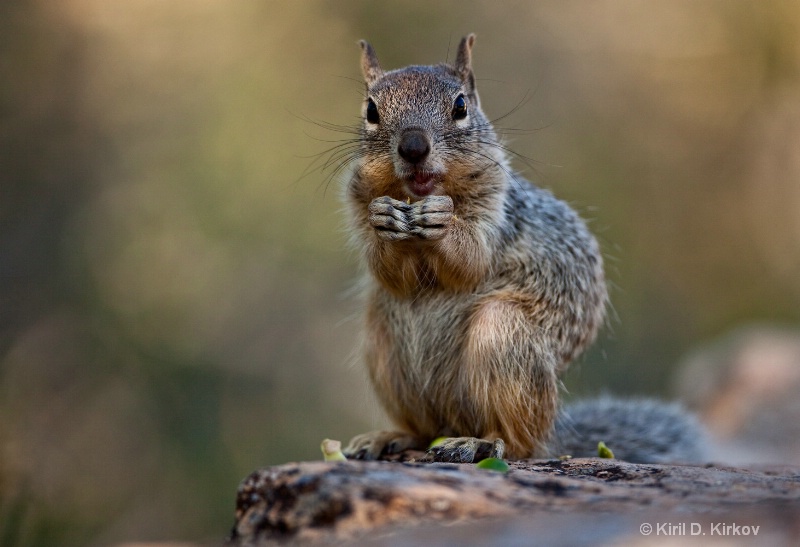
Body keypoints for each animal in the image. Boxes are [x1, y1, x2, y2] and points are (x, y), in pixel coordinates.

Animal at [340, 34, 708, 464]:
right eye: (371, 110)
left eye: (461, 106)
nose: (414, 147)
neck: (419, 197)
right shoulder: (360, 203)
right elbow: (389, 272)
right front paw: (383, 219)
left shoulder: (499, 214)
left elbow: (473, 261)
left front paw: (444, 222)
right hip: (383, 347)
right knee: (423, 429)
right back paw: (389, 436)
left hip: (504, 337)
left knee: (518, 442)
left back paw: (478, 441)